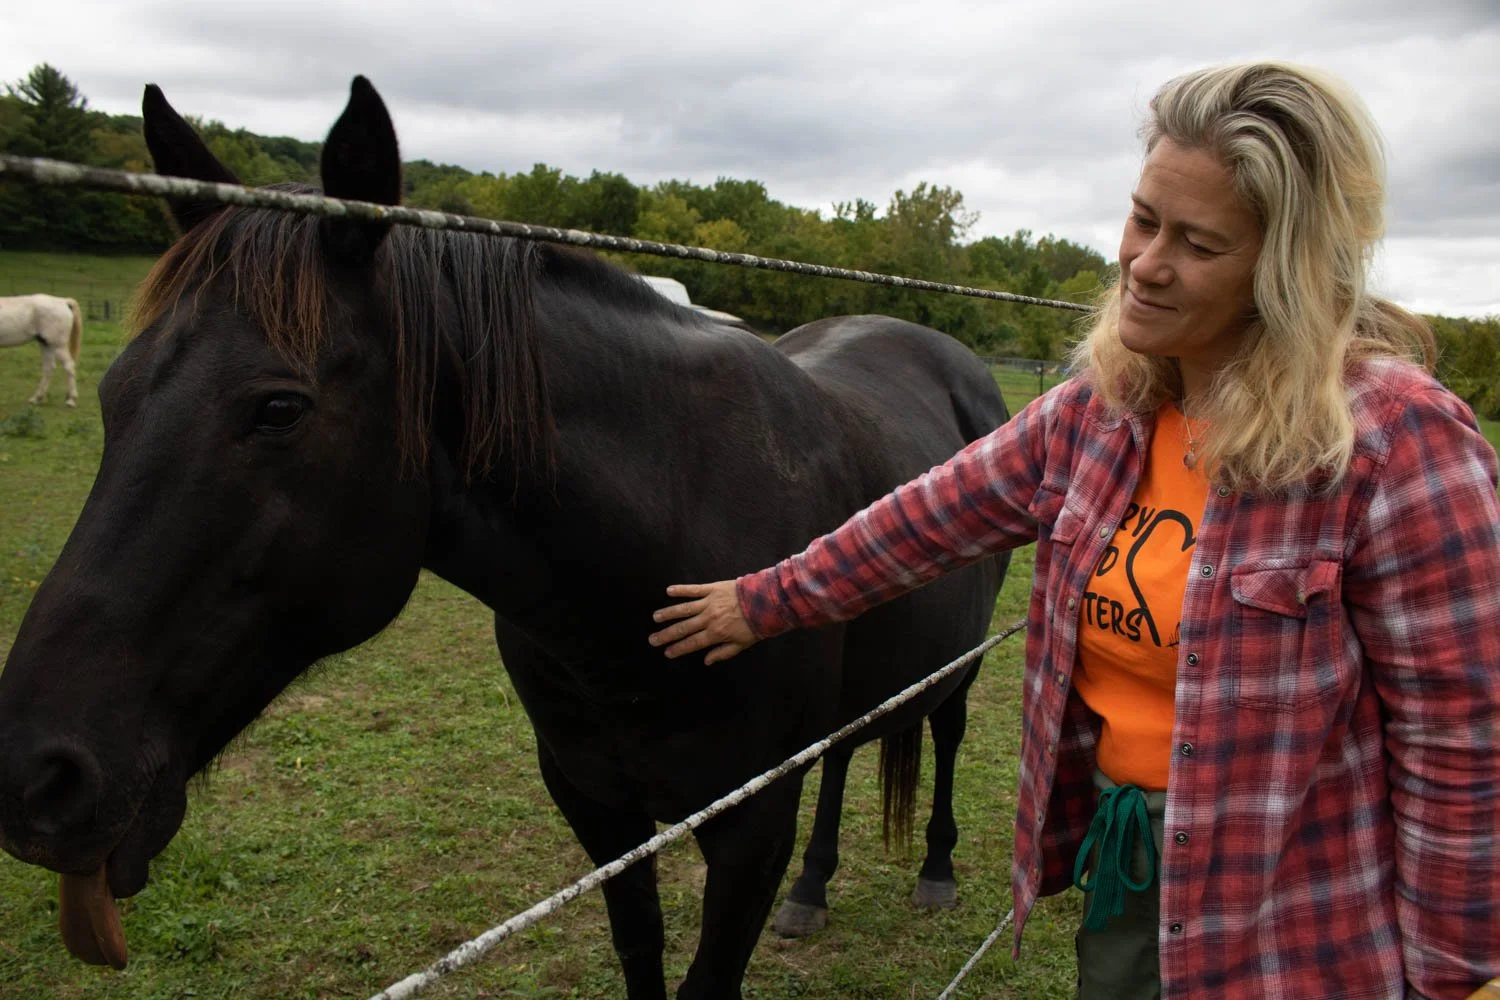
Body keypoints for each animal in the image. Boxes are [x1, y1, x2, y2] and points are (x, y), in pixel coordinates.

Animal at [0, 77, 1009, 999]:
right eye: (112, 391)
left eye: (278, 409)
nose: (36, 774)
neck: (658, 563)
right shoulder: (599, 811)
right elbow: (641, 951)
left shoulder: (749, 827)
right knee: (845, 752)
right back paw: (814, 892)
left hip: (958, 664)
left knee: (946, 733)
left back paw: (937, 873)